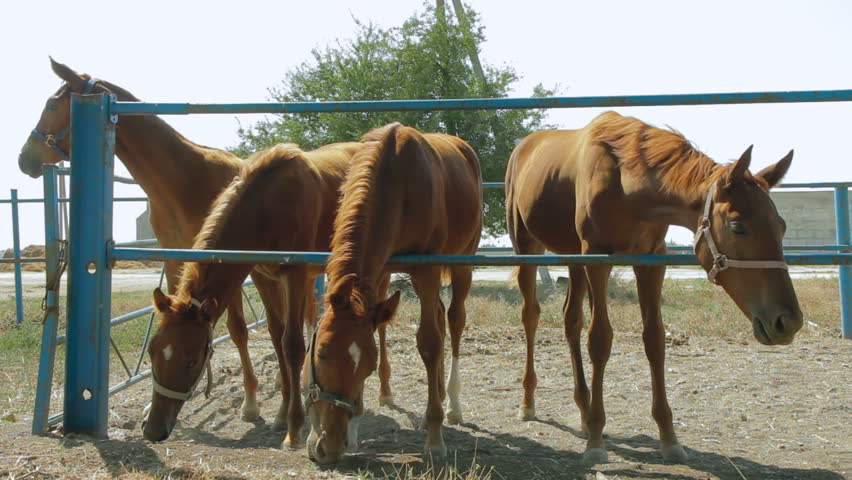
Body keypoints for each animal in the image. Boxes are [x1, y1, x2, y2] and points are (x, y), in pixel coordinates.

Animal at [141, 141, 363, 445]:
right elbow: (276, 336)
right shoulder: (263, 276)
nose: (153, 430)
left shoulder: (293, 274)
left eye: (192, 361)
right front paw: (282, 414)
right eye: (152, 351)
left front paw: (294, 427)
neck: (267, 206)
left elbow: (291, 344)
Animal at [305, 123, 482, 464]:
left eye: (367, 366)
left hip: (462, 262)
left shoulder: (427, 269)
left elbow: (429, 342)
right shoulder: (380, 270)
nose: (328, 447)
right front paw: (354, 433)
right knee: (437, 314)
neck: (396, 180)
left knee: (453, 321)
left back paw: (452, 405)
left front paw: (435, 439)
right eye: (320, 353)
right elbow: (382, 328)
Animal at [505, 111, 803, 464]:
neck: (626, 183)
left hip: (573, 256)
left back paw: (583, 407)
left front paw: (668, 436)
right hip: (527, 247)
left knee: (571, 319)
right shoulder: (597, 259)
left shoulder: (651, 261)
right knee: (531, 316)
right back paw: (528, 401)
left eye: (781, 226)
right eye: (737, 226)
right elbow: (600, 340)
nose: (788, 322)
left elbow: (655, 339)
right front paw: (596, 440)